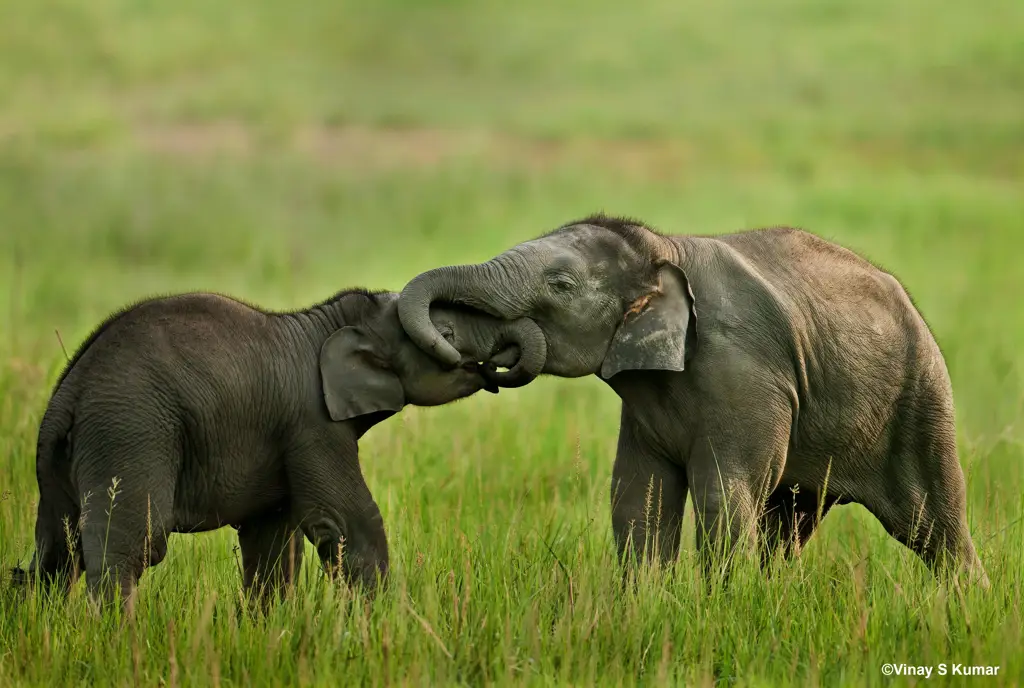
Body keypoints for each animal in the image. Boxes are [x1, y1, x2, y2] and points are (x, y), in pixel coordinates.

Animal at [14, 286, 544, 610]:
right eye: (446, 336)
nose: (498, 367)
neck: (327, 323)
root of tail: (69, 394)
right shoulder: (313, 423)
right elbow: (349, 524)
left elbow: (271, 541)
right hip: (131, 429)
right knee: (131, 546)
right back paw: (121, 644)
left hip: (64, 457)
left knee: (55, 552)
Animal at [397, 213, 991, 585]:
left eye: (561, 285)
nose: (487, 361)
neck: (663, 248)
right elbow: (638, 495)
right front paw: (646, 607)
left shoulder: (740, 372)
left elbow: (723, 494)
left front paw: (719, 609)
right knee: (788, 527)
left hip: (921, 398)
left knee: (934, 526)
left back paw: (969, 609)